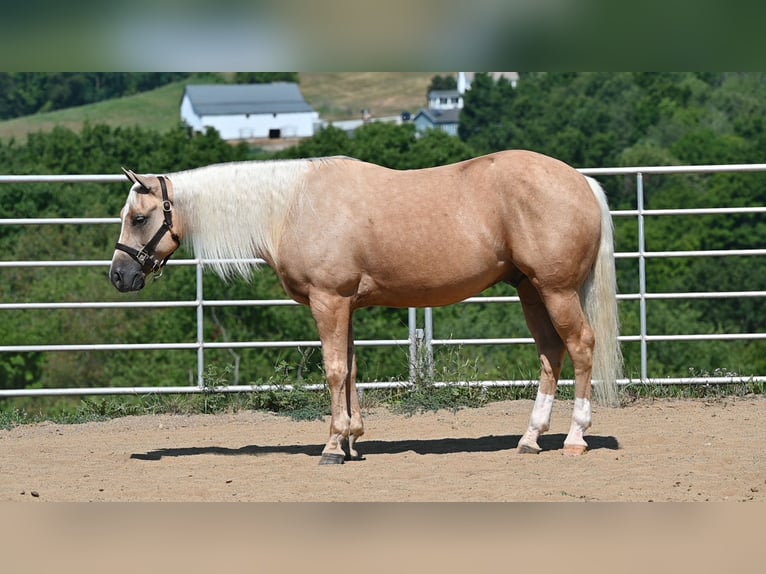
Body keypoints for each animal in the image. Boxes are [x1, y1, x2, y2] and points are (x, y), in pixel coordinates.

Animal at [109, 150, 623, 464]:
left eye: (140, 218)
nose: (119, 276)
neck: (292, 207)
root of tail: (581, 181)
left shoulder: (328, 301)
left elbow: (335, 370)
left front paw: (333, 446)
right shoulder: (346, 306)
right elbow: (353, 368)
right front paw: (353, 439)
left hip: (556, 290)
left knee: (580, 347)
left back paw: (575, 438)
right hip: (531, 290)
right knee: (550, 354)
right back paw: (530, 439)